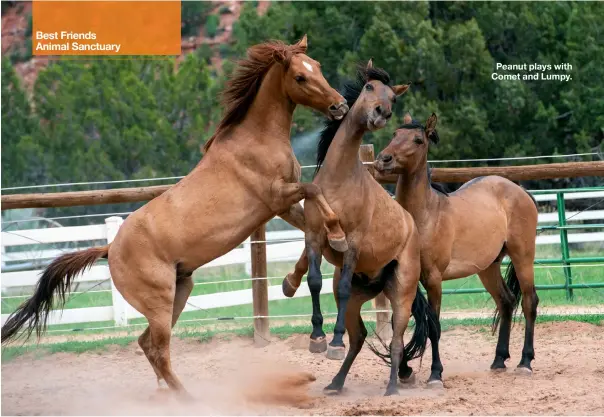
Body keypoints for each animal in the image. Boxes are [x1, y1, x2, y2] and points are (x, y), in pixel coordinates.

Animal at [1, 36, 350, 396]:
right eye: (299, 77)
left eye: (318, 67)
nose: (339, 107)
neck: (257, 139)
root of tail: (109, 249)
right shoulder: (277, 196)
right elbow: (314, 190)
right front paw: (337, 236)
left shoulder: (282, 207)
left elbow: (312, 231)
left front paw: (294, 279)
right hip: (159, 302)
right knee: (159, 350)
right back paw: (187, 398)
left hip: (179, 292)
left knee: (146, 345)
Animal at [376, 112, 540, 386]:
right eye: (394, 134)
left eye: (418, 140)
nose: (383, 159)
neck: (425, 216)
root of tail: (520, 190)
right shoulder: (405, 279)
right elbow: (402, 321)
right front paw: (404, 370)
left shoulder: (433, 279)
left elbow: (434, 326)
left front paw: (435, 374)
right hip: (488, 267)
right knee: (506, 302)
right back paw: (498, 360)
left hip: (523, 257)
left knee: (529, 302)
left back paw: (525, 362)